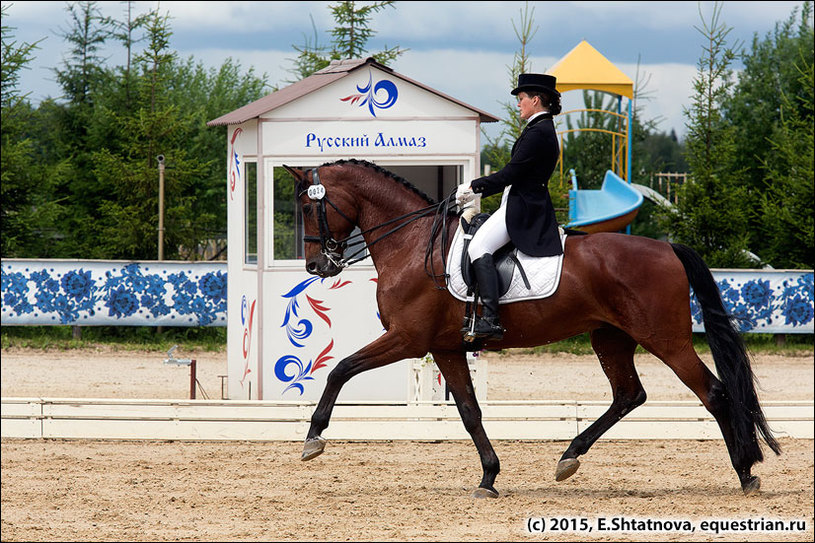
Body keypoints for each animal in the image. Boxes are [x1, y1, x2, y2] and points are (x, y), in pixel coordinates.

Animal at [284, 159, 780, 500]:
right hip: (609, 337)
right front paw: (488, 476)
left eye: (309, 205)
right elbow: (470, 413)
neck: (410, 244)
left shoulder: (408, 339)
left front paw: (313, 439)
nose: (316, 265)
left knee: (713, 392)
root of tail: (667, 248)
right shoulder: (445, 348)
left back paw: (745, 472)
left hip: (665, 339)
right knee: (629, 394)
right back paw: (569, 458)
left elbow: (341, 369)